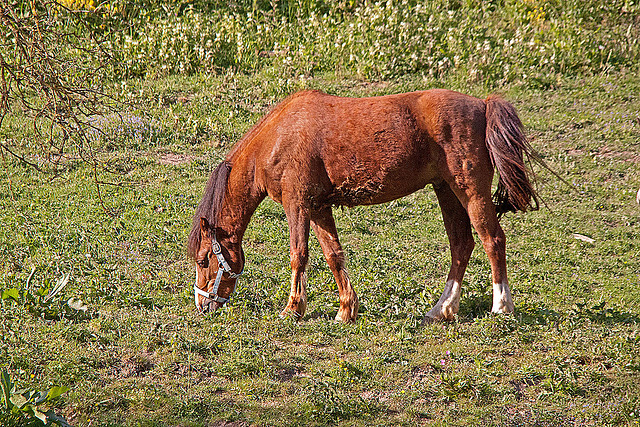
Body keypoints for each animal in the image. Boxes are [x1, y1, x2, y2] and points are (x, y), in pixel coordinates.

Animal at [188, 88, 536, 320]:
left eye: (204, 260)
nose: (202, 305)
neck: (277, 137)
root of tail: (483, 105)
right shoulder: (318, 207)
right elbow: (334, 255)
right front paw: (346, 309)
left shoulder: (297, 205)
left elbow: (298, 255)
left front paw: (293, 309)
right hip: (447, 192)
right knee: (461, 245)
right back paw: (442, 309)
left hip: (471, 192)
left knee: (493, 240)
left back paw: (502, 306)